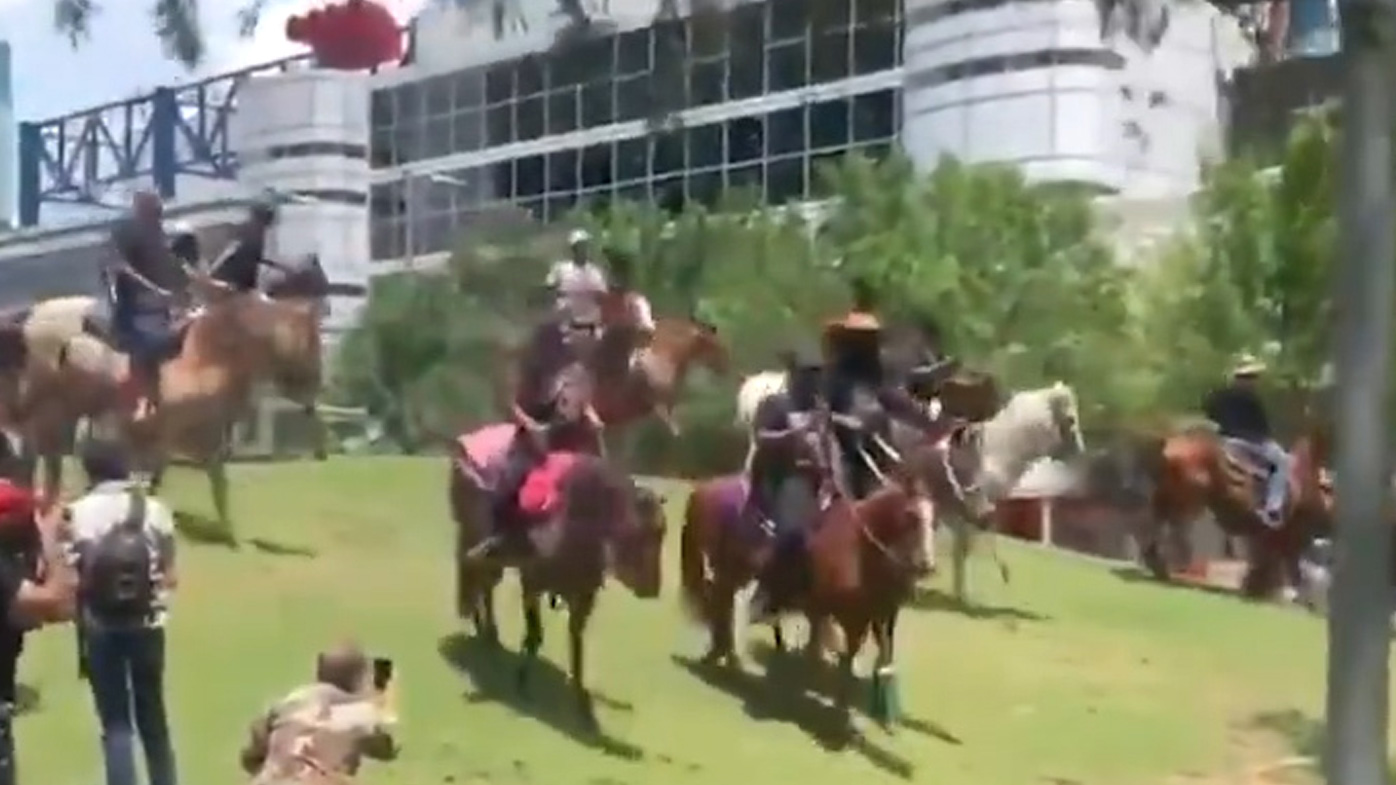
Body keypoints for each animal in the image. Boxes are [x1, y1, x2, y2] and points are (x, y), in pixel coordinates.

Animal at [446, 424, 664, 726]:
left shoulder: (582, 597)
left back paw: (487, 632)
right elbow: (535, 634)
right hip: (472, 534)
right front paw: (523, 682)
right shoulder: (531, 584)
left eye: (661, 533)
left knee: (482, 583)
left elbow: (576, 645)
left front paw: (583, 706)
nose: (652, 588)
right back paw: (484, 629)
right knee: (477, 577)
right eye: (643, 534)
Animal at [1133, 424, 1328, 595]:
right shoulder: (1280, 536)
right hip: (1187, 502)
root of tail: (1169, 446)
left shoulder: (1281, 539)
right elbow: (1275, 566)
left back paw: (1159, 566)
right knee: (1173, 531)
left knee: (1155, 527)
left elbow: (1279, 566)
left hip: (1167, 499)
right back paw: (1175, 565)